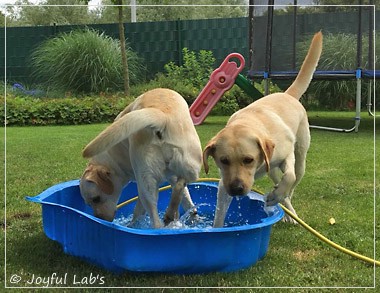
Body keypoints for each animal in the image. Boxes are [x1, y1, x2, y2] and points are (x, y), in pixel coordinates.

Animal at [80, 88, 202, 227]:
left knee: (156, 221)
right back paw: (171, 214)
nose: (99, 219)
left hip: (145, 183)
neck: (113, 156)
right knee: (181, 185)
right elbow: (187, 200)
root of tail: (162, 117)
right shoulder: (172, 176)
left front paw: (132, 225)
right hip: (190, 166)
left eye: (96, 199)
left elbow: (137, 212)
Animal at [203, 32, 322, 227]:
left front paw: (276, 196)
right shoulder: (223, 184)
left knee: (293, 182)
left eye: (248, 159)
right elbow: (219, 214)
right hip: (271, 170)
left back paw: (287, 206)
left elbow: (288, 177)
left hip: (300, 159)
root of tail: (287, 94)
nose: (236, 189)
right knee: (279, 181)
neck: (248, 122)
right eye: (223, 160)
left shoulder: (286, 155)